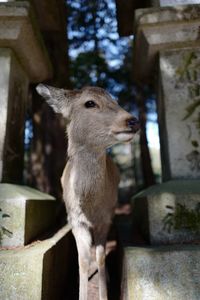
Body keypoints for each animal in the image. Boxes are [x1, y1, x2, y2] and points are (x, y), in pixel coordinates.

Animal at [35, 84, 139, 300]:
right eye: (89, 103)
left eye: (115, 100)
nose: (133, 120)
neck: (89, 206)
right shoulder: (75, 220)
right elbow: (82, 259)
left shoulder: (105, 218)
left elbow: (100, 256)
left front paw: (104, 294)